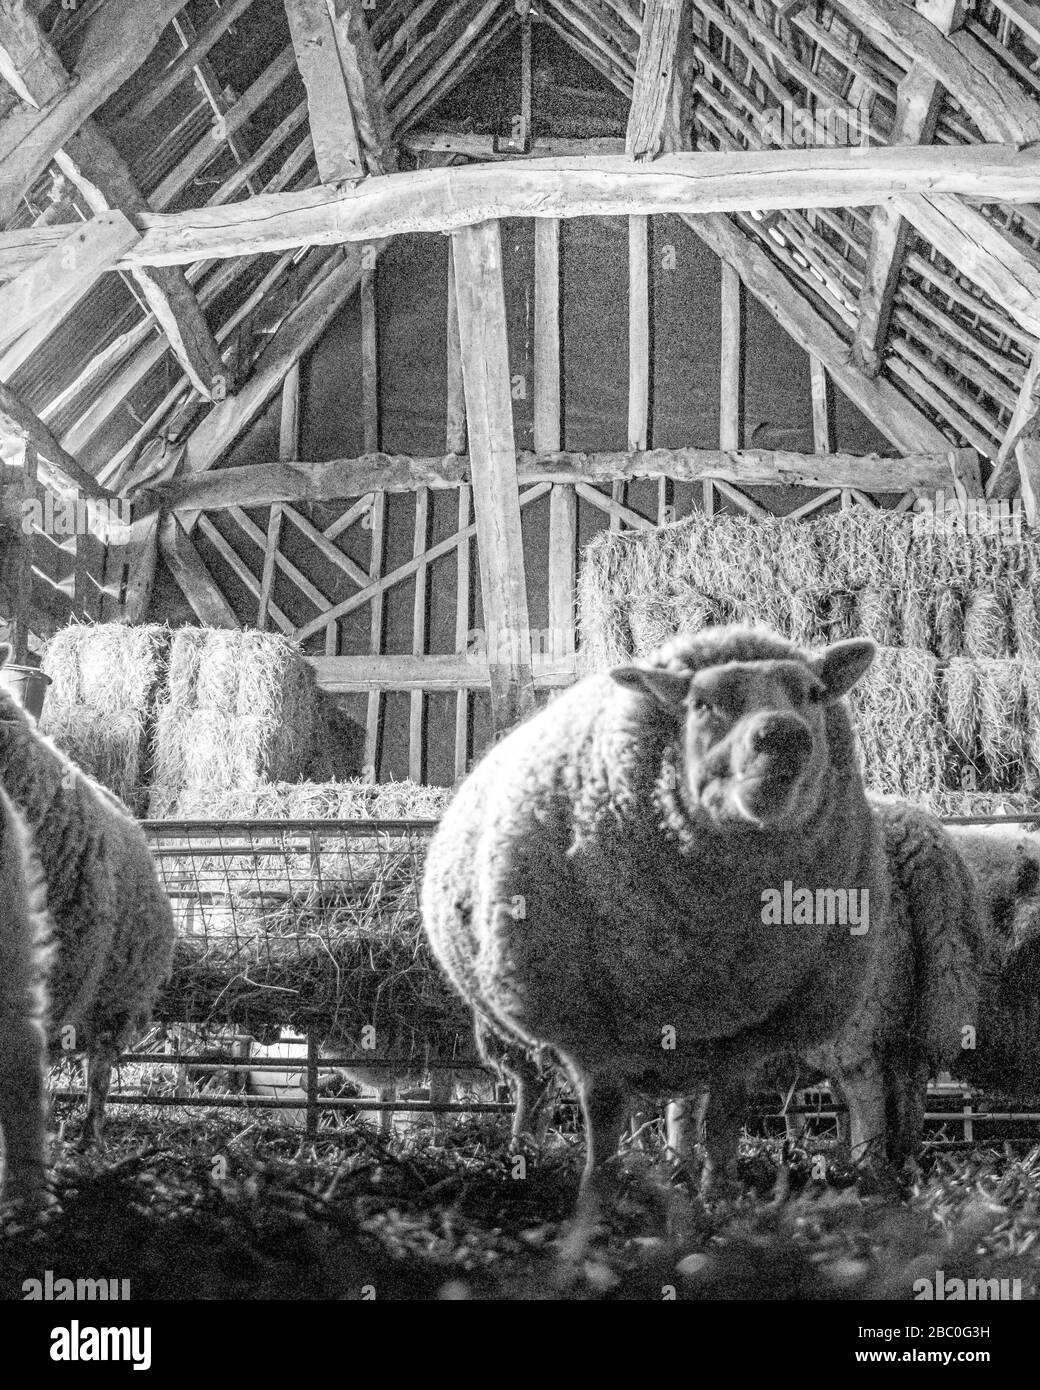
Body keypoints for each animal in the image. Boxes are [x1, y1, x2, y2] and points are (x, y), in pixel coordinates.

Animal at [422, 625, 951, 1223]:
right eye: (701, 704)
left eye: (814, 694)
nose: (782, 736)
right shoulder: (593, 1036)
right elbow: (604, 1122)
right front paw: (595, 1202)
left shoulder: (745, 1035)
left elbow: (724, 1121)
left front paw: (718, 1197)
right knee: (537, 1089)